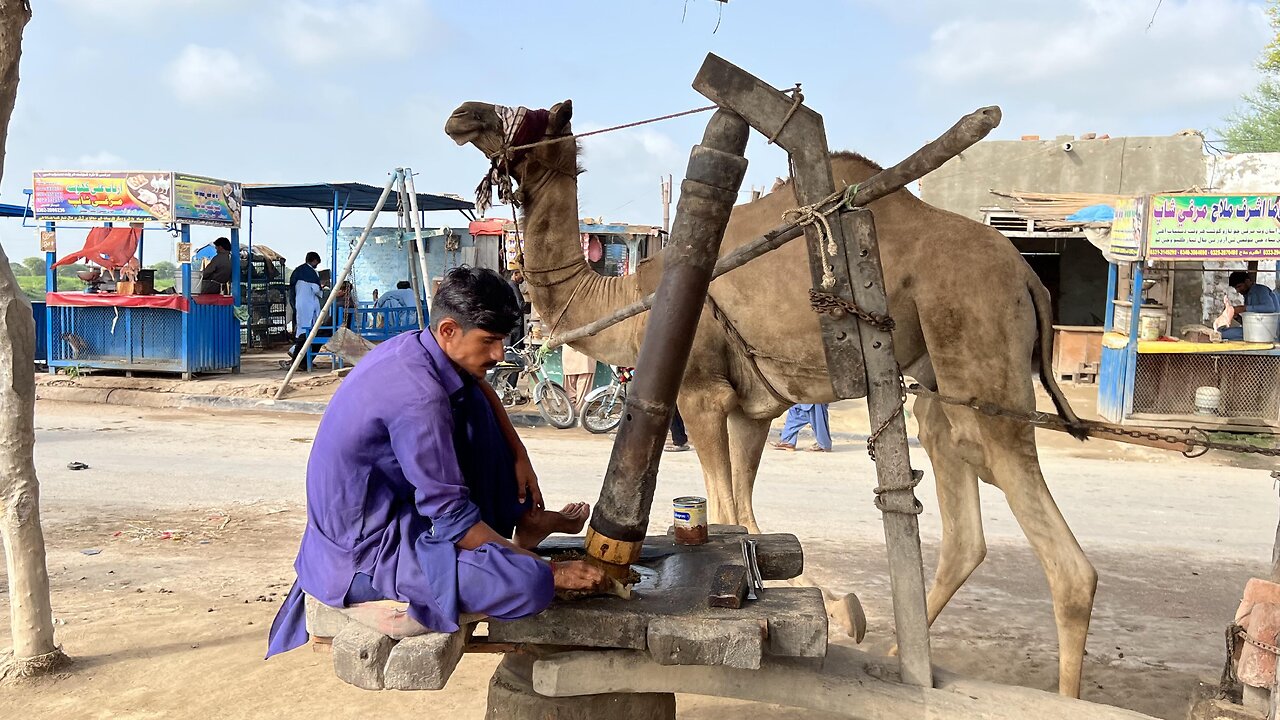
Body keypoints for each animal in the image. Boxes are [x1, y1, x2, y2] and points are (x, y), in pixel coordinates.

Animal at [445, 98, 1095, 691]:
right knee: (961, 511)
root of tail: (1029, 277)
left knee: (1065, 560)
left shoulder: (700, 393)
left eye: (527, 117)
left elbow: (725, 509)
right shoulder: (751, 412)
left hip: (977, 346)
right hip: (939, 384)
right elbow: (745, 516)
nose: (461, 115)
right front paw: (831, 608)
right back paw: (897, 657)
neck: (627, 301)